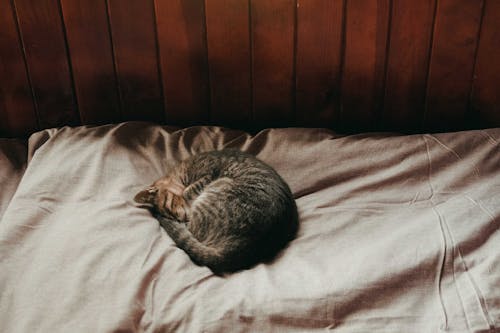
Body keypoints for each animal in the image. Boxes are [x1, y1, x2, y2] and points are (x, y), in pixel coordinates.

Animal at [134, 149, 296, 274]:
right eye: (173, 213)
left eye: (172, 207)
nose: (182, 219)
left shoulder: (208, 175)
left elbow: (188, 190)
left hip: (219, 184)